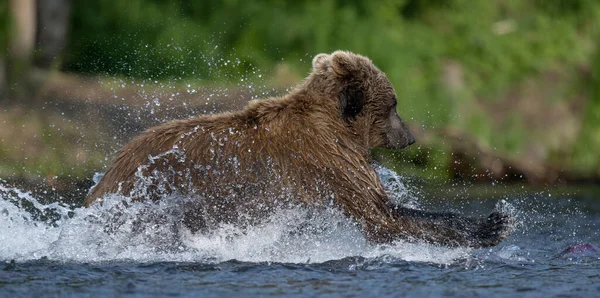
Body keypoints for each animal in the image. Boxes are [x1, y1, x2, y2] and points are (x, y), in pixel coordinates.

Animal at [84, 50, 508, 247]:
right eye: (395, 104)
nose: (410, 136)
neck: (337, 125)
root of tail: (104, 179)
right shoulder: (328, 160)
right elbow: (380, 215)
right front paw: (491, 223)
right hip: (158, 195)